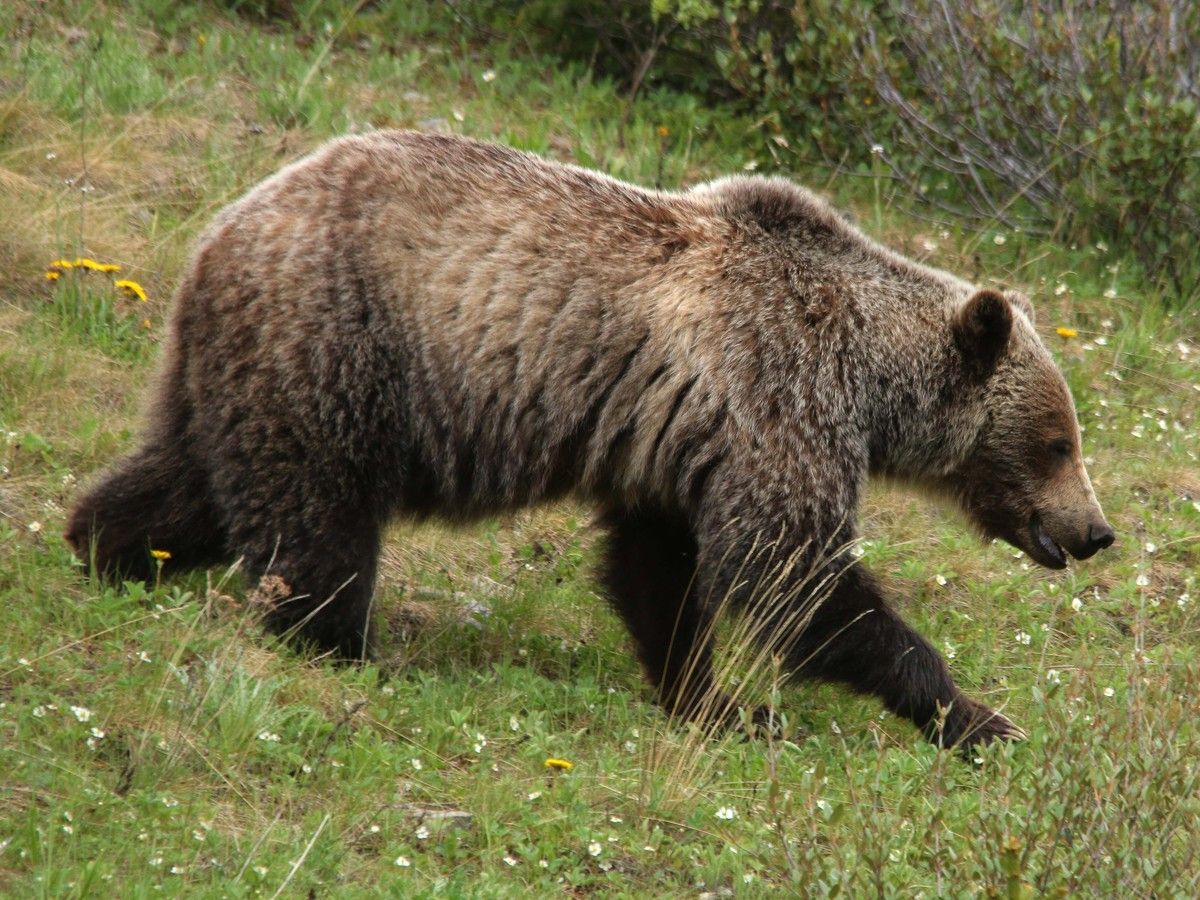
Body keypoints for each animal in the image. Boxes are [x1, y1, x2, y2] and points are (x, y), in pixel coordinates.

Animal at [66, 130, 1115, 749]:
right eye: (1058, 442)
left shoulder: (682, 441)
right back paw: (344, 643)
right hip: (344, 347)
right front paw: (971, 713)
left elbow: (661, 570)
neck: (868, 375)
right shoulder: (778, 395)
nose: (1096, 530)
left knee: (191, 482)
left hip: (244, 370)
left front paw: (720, 703)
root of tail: (220, 230)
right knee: (316, 521)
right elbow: (791, 570)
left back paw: (103, 548)